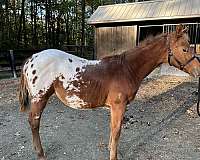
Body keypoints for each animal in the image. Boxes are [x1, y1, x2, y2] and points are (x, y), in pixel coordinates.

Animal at [18, 24, 200, 159]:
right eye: (184, 49)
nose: (198, 71)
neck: (127, 69)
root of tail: (31, 59)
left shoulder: (113, 107)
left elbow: (112, 129)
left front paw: (109, 148)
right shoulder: (119, 106)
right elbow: (117, 130)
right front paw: (114, 155)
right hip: (40, 98)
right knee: (34, 123)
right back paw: (41, 154)